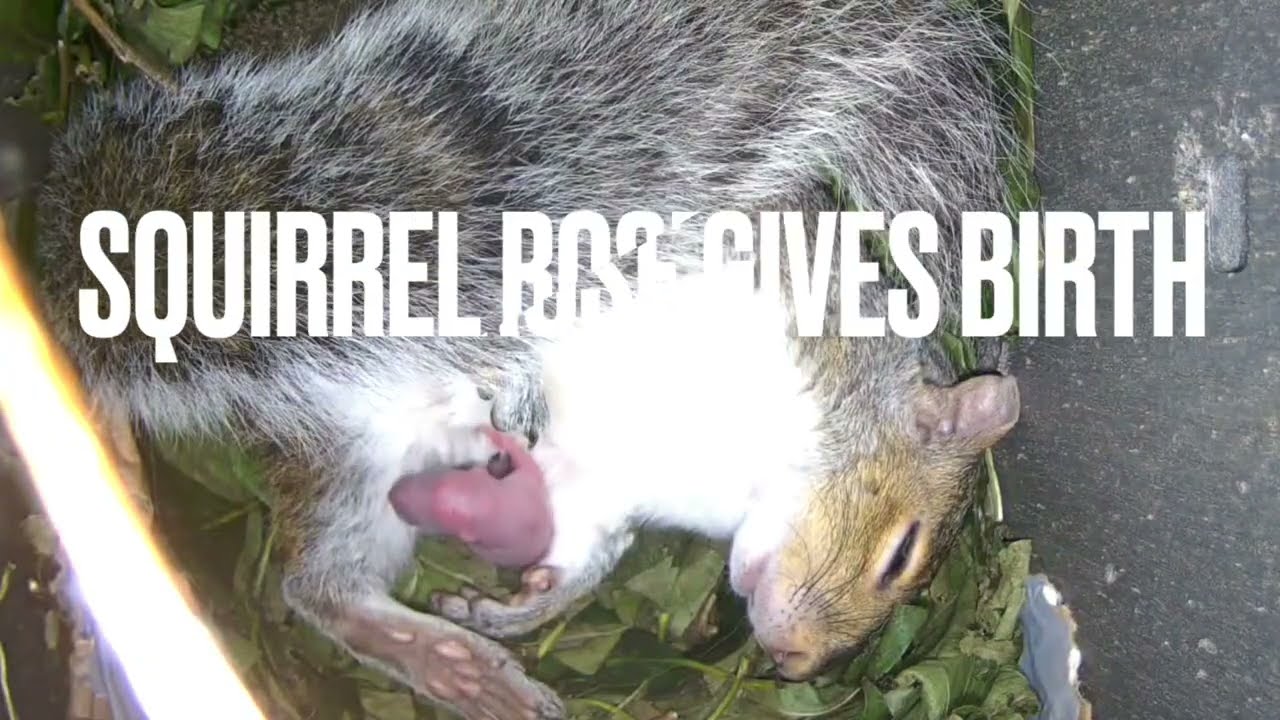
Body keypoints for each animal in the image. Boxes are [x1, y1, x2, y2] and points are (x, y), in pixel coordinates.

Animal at [29, 0, 1020, 718]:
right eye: (900, 554)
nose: (793, 660)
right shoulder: (785, 272)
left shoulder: (609, 488)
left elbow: (585, 546)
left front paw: (526, 605)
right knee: (319, 581)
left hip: (356, 455)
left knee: (317, 585)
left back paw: (452, 661)